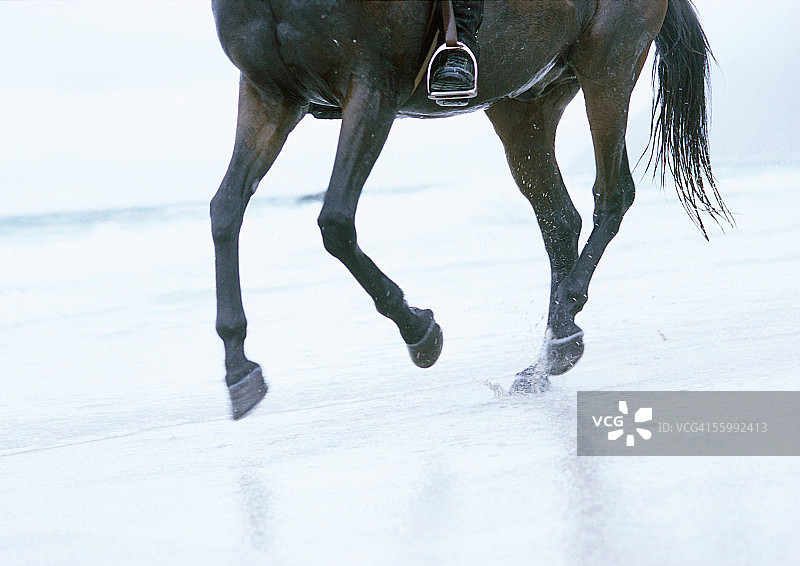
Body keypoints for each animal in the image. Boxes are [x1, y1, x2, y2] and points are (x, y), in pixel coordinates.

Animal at [210, 0, 730, 419]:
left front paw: (421, 332)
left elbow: (334, 222)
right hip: (522, 103)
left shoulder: (371, 87)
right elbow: (225, 211)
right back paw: (550, 358)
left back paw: (562, 330)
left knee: (613, 194)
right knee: (559, 218)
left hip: (609, 62)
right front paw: (238, 368)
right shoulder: (269, 95)